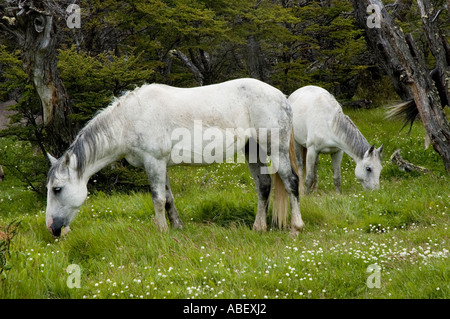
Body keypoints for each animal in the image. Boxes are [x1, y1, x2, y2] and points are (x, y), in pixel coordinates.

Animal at [45, 78, 304, 238]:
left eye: (57, 189)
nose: (52, 228)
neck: (128, 119)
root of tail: (282, 97)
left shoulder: (154, 162)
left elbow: (158, 199)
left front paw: (162, 231)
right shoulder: (160, 165)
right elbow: (168, 198)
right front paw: (177, 227)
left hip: (276, 149)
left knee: (291, 182)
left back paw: (295, 227)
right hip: (253, 150)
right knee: (264, 185)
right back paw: (259, 227)